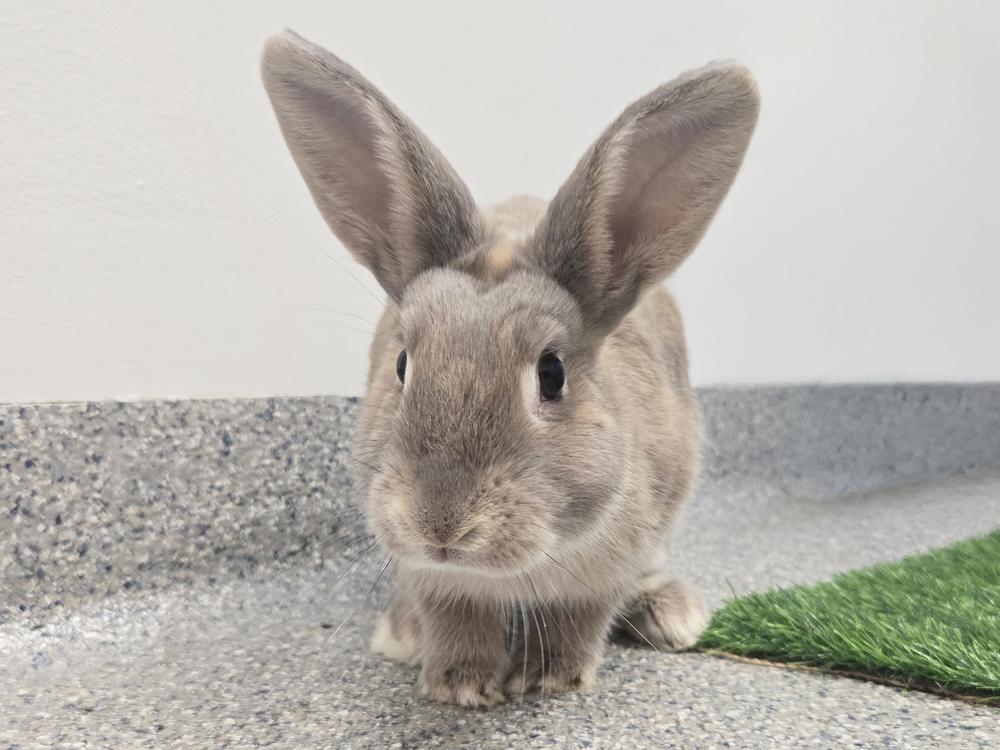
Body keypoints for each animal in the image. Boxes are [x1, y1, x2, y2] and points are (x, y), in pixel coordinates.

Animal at [261, 30, 758, 707]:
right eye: (402, 364)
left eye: (551, 374)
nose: (440, 526)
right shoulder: (434, 579)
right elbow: (455, 620)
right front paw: (461, 685)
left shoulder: (603, 571)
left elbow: (577, 618)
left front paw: (549, 677)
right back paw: (402, 635)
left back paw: (671, 613)